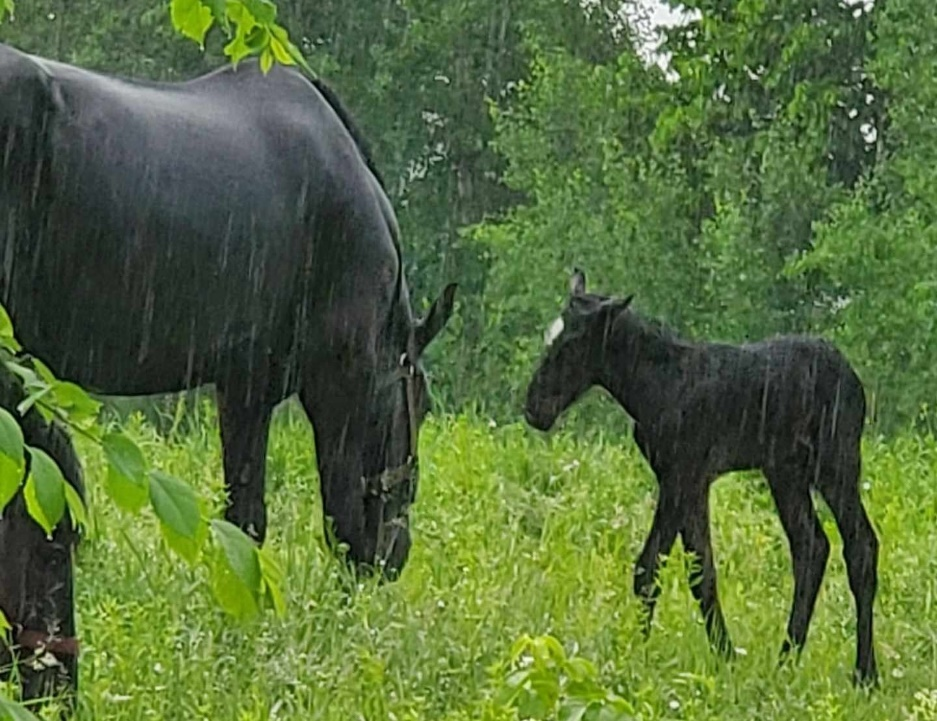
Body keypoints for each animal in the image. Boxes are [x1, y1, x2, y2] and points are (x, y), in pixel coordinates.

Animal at [524, 269, 878, 687]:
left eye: (574, 342)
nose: (535, 407)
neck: (655, 385)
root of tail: (853, 378)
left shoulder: (682, 475)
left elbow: (649, 568)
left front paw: (635, 656)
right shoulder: (689, 482)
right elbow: (700, 572)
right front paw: (725, 657)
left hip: (836, 462)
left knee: (860, 546)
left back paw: (864, 673)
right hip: (785, 472)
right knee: (811, 546)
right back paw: (786, 660)